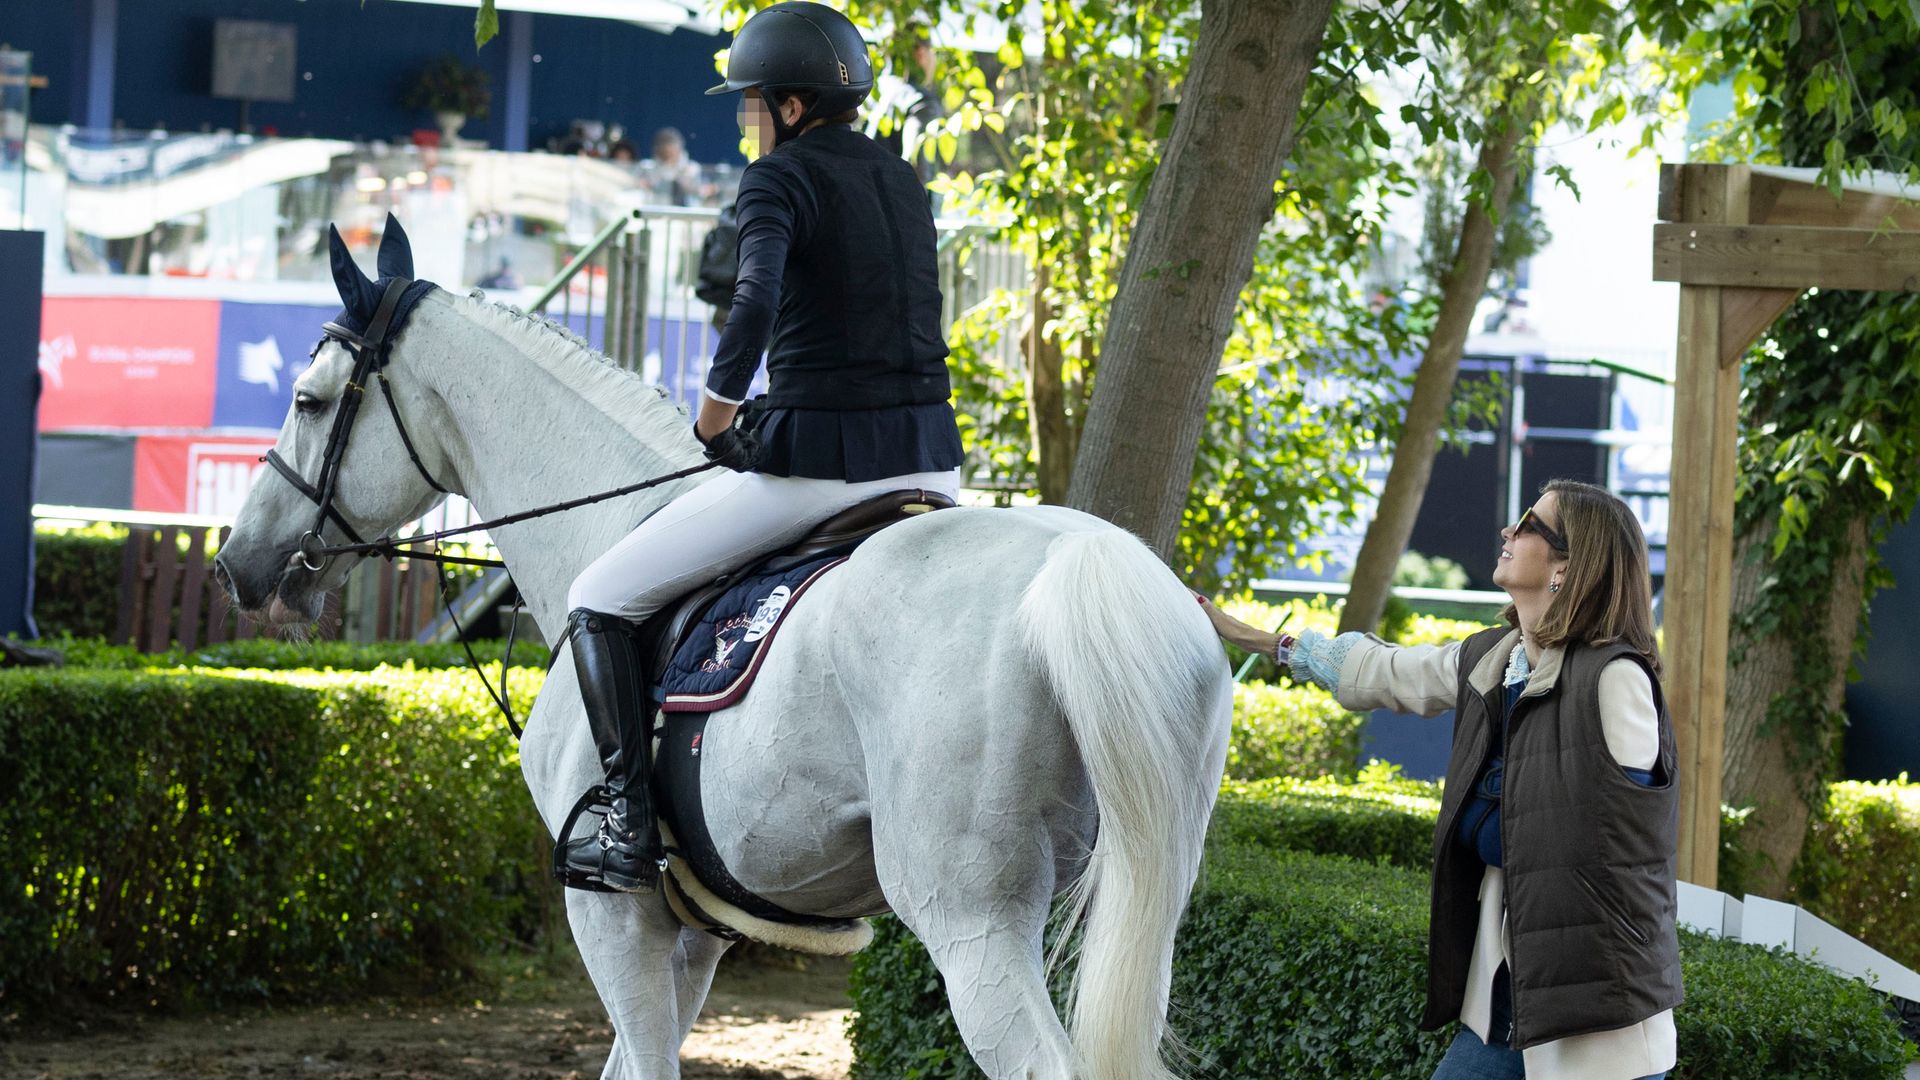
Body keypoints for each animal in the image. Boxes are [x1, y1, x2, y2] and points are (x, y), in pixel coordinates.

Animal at [210, 222, 1228, 1068]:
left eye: (307, 400)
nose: (236, 566)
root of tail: (1082, 560)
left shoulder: (614, 916)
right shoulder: (697, 929)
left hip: (971, 919)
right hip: (1141, 898)